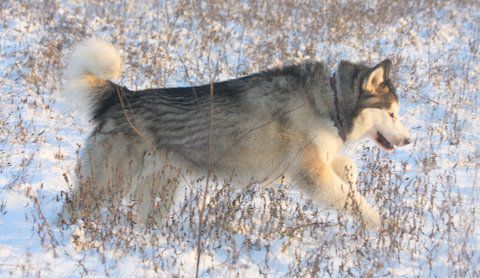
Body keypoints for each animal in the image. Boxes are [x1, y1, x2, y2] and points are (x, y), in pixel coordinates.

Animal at [62, 38, 410, 230]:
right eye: (392, 113)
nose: (408, 140)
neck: (331, 100)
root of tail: (121, 96)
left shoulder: (316, 163)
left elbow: (347, 169)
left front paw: (351, 177)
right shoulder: (311, 173)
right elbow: (358, 205)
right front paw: (381, 229)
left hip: (162, 185)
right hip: (111, 180)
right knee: (75, 206)